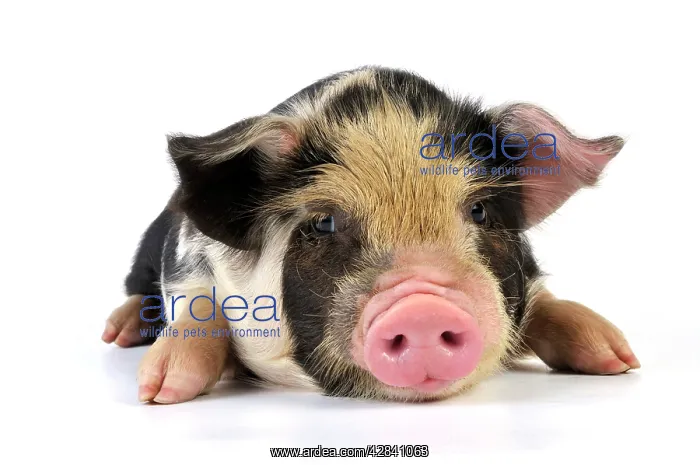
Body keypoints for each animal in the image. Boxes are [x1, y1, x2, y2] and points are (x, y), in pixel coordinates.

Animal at [102, 66, 640, 404]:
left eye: (480, 211)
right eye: (324, 222)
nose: (424, 307)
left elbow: (545, 302)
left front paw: (619, 359)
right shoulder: (187, 259)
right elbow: (197, 307)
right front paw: (159, 393)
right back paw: (119, 334)